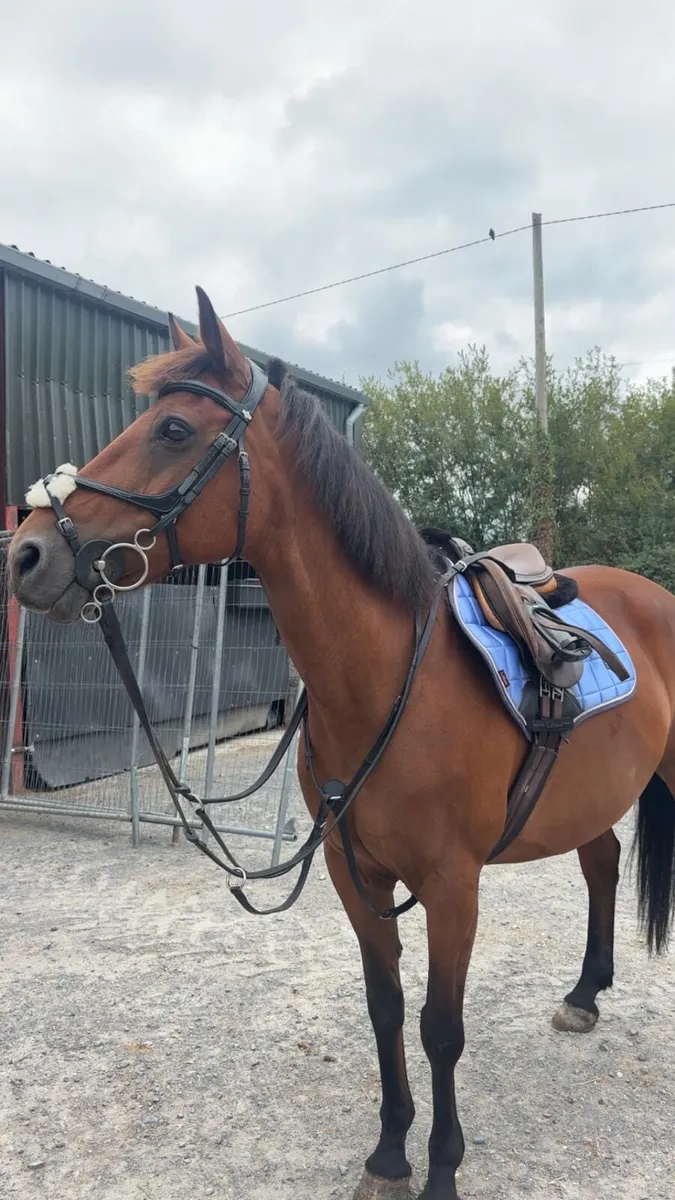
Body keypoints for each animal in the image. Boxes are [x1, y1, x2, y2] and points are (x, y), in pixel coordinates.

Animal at [8, 287, 675, 1200]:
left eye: (173, 429)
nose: (26, 552)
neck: (390, 678)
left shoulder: (452, 886)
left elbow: (440, 1027)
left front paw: (439, 1171)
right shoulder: (352, 871)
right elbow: (384, 1008)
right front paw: (389, 1154)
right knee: (602, 863)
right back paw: (584, 994)